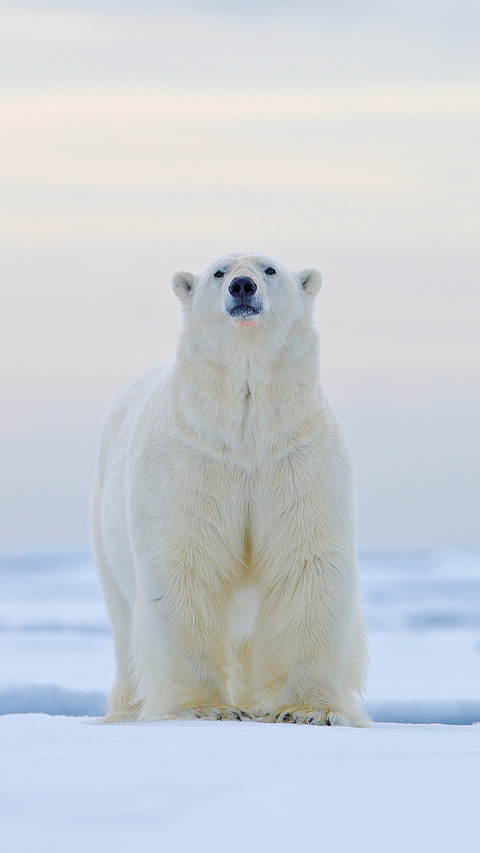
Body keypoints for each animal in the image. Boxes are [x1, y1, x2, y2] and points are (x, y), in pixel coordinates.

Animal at [92, 253, 370, 726]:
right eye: (218, 272)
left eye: (270, 269)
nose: (243, 286)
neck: (246, 433)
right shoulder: (192, 459)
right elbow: (186, 563)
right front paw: (205, 709)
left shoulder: (295, 457)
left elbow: (305, 562)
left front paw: (306, 711)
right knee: (124, 621)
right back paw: (127, 710)